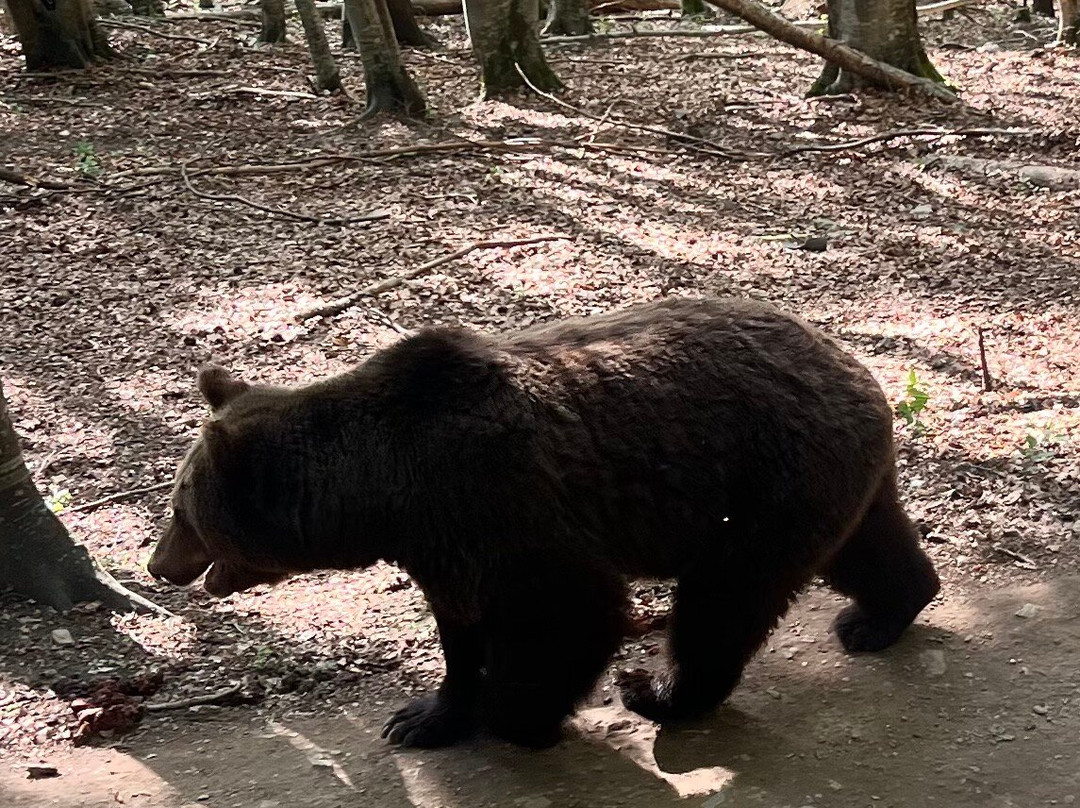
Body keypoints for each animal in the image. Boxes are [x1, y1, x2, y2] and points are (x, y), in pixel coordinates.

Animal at [147, 296, 940, 749]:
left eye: (182, 512)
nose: (157, 564)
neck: (384, 492)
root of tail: (857, 366)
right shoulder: (442, 545)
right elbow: (460, 631)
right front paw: (424, 717)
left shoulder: (498, 502)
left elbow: (570, 608)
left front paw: (519, 716)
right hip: (828, 481)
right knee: (866, 546)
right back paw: (881, 614)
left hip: (762, 487)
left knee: (724, 602)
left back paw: (661, 693)